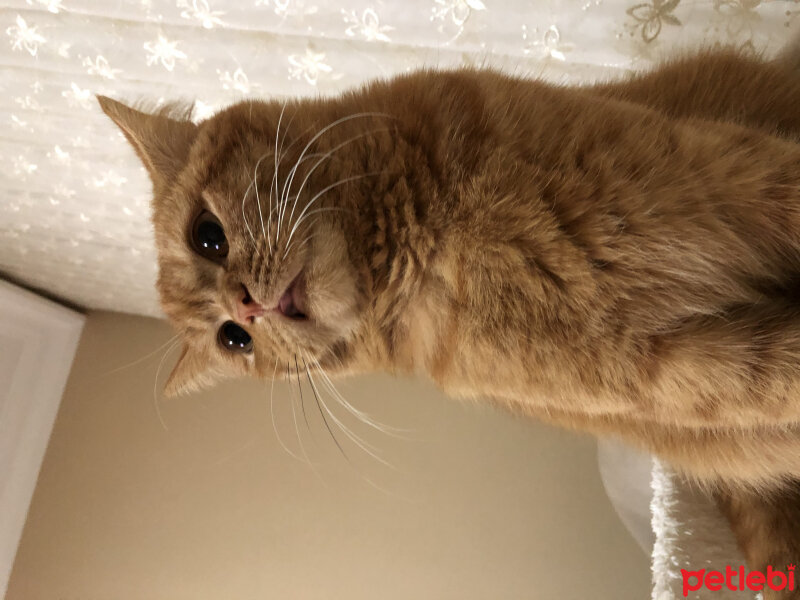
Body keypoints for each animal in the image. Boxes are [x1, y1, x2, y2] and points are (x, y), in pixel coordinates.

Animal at [103, 38, 800, 592]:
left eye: (208, 237)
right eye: (234, 341)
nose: (244, 306)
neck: (449, 242)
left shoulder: (729, 175)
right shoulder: (682, 370)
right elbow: (779, 377)